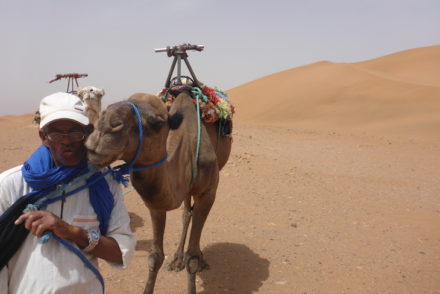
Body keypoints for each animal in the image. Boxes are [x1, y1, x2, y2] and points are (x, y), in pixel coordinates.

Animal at [84, 90, 232, 292]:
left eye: (157, 122)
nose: (104, 128)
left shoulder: (208, 193)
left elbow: (192, 258)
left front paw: (196, 260)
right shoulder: (155, 205)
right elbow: (155, 257)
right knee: (186, 213)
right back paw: (177, 260)